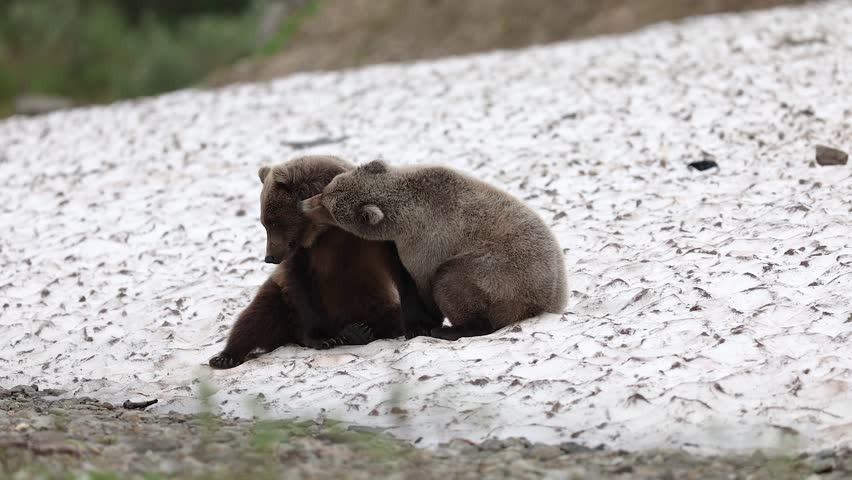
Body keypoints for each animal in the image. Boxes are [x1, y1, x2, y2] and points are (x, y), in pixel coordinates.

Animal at [208, 155, 439, 369]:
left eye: (272, 222)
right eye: (264, 222)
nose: (269, 257)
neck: (326, 229)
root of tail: (291, 336)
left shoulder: (374, 235)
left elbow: (401, 269)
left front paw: (419, 326)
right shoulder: (305, 256)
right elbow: (302, 287)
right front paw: (323, 338)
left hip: (371, 302)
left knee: (390, 315)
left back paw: (360, 331)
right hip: (282, 299)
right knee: (256, 316)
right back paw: (225, 357)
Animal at [299, 159, 567, 341]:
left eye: (328, 208)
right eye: (327, 189)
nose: (303, 204)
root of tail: (549, 303)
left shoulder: (427, 242)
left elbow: (426, 283)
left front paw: (423, 324)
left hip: (501, 276)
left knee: (451, 280)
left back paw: (450, 329)